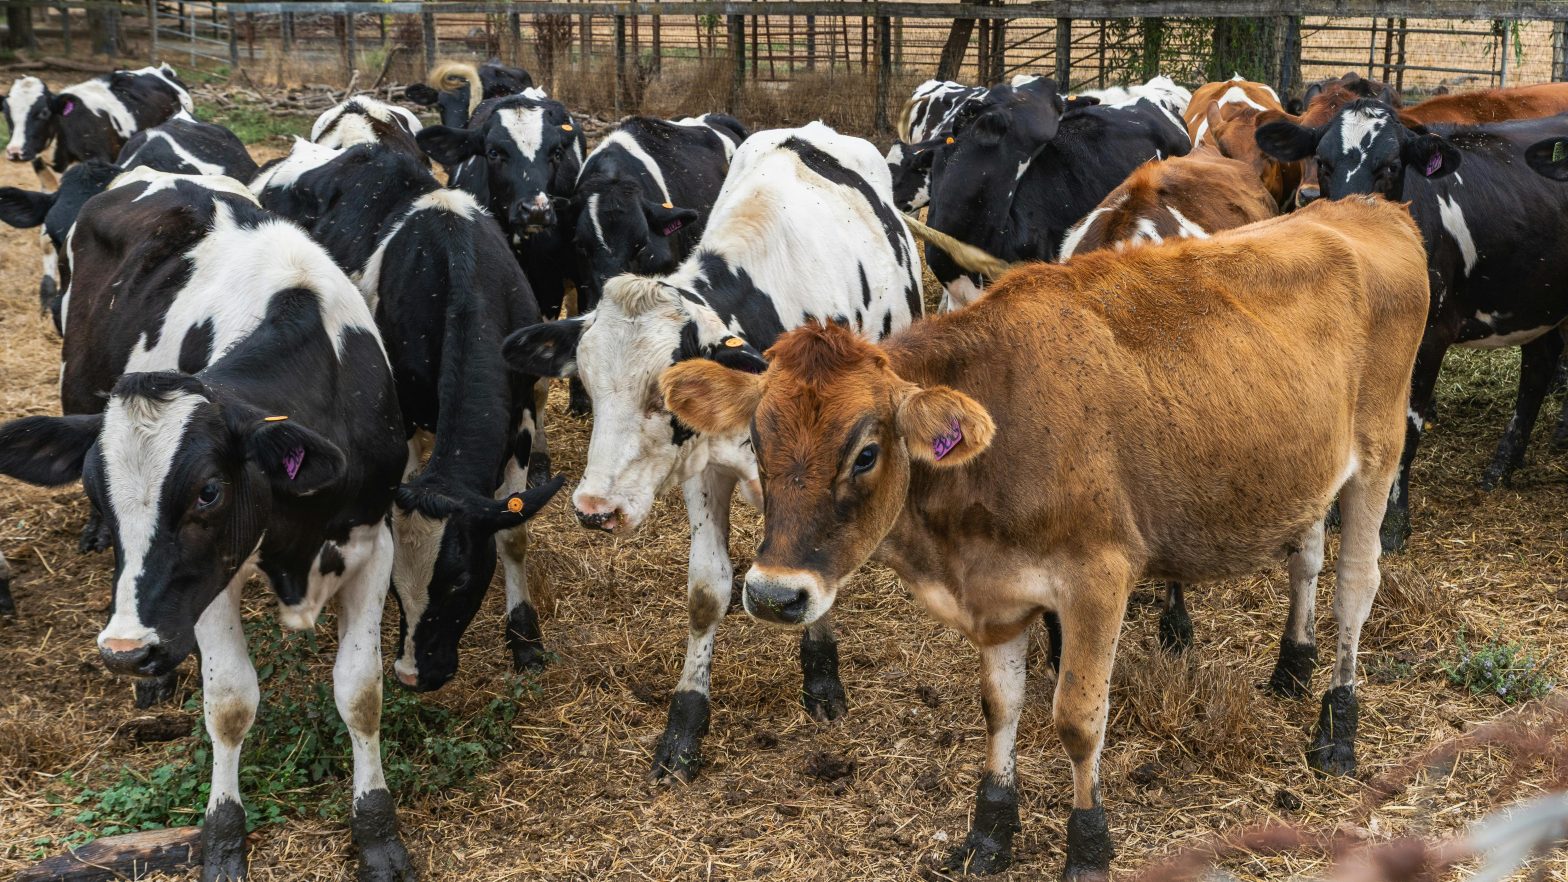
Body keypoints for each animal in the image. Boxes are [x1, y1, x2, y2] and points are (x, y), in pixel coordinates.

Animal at [0, 168, 430, 881]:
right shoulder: (211, 579)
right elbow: (229, 704)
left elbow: (360, 692)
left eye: (208, 492)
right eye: (97, 493)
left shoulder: (372, 543)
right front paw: (224, 836)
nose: (124, 652)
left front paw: (376, 832)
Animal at [252, 139, 563, 691]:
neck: (461, 271)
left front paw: (525, 639)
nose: (413, 674)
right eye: (396, 587)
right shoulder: (410, 412)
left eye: (459, 581)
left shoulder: (523, 413)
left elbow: (513, 532)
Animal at [661, 196, 1429, 877]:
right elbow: (1001, 708)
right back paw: (1292, 668)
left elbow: (1077, 719)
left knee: (1354, 588)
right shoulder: (999, 593)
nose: (774, 595)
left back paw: (1337, 731)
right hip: (1306, 471)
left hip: (1377, 456)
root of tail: (1372, 207)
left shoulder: (1098, 580)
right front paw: (990, 830)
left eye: (866, 453)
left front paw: (1088, 846)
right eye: (756, 442)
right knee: (1306, 558)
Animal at [1258, 102, 1568, 552]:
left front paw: (1393, 522)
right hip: (1534, 300)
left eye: (1390, 166)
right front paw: (1336, 514)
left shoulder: (1430, 335)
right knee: (1539, 366)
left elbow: (1408, 425)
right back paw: (1501, 468)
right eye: (1323, 162)